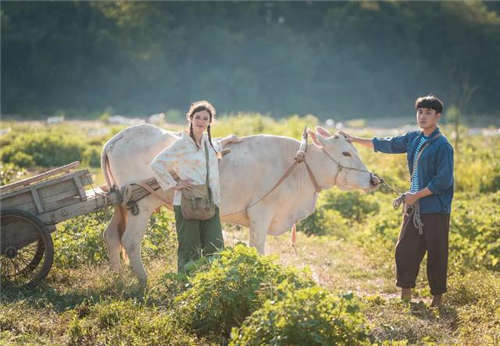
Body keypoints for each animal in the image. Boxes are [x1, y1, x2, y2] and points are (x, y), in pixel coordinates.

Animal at [101, 124, 378, 284]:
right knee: (130, 242)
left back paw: (118, 278)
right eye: (346, 153)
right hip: (140, 206)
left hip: (121, 206)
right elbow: (258, 249)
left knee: (111, 236)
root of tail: (116, 139)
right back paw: (143, 281)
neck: (299, 165)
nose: (373, 179)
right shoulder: (260, 214)